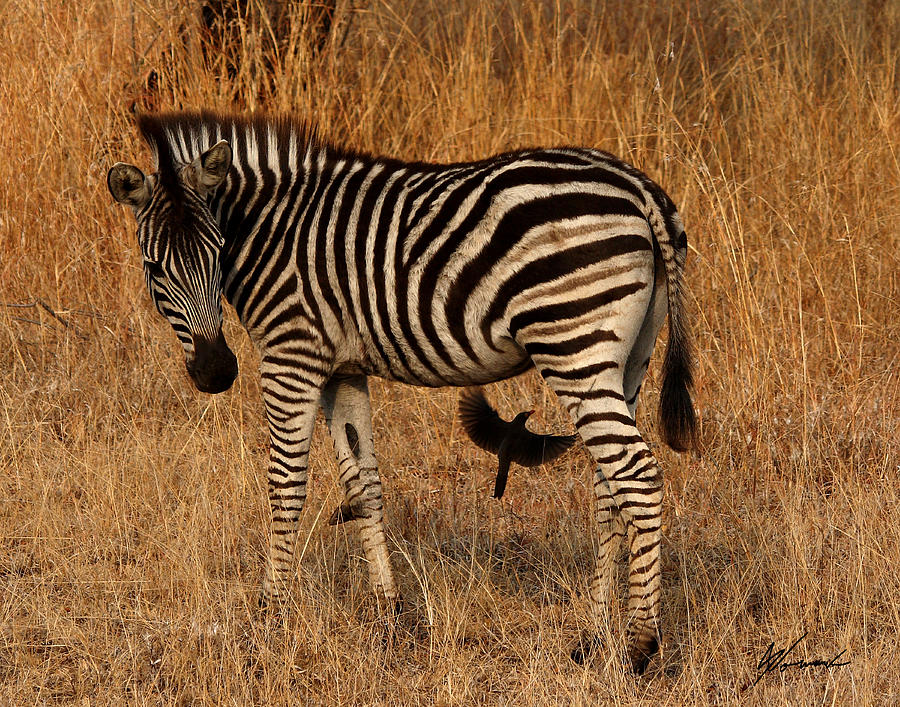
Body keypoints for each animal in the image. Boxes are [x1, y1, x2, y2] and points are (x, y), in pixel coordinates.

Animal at [107, 112, 696, 676]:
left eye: (218, 252)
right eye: (155, 266)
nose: (216, 372)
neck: (275, 234)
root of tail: (636, 185)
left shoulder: (293, 355)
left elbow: (286, 484)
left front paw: (270, 614)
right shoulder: (342, 370)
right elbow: (364, 484)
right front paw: (389, 614)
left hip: (572, 343)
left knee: (637, 476)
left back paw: (639, 647)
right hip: (628, 357)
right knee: (609, 486)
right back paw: (594, 636)